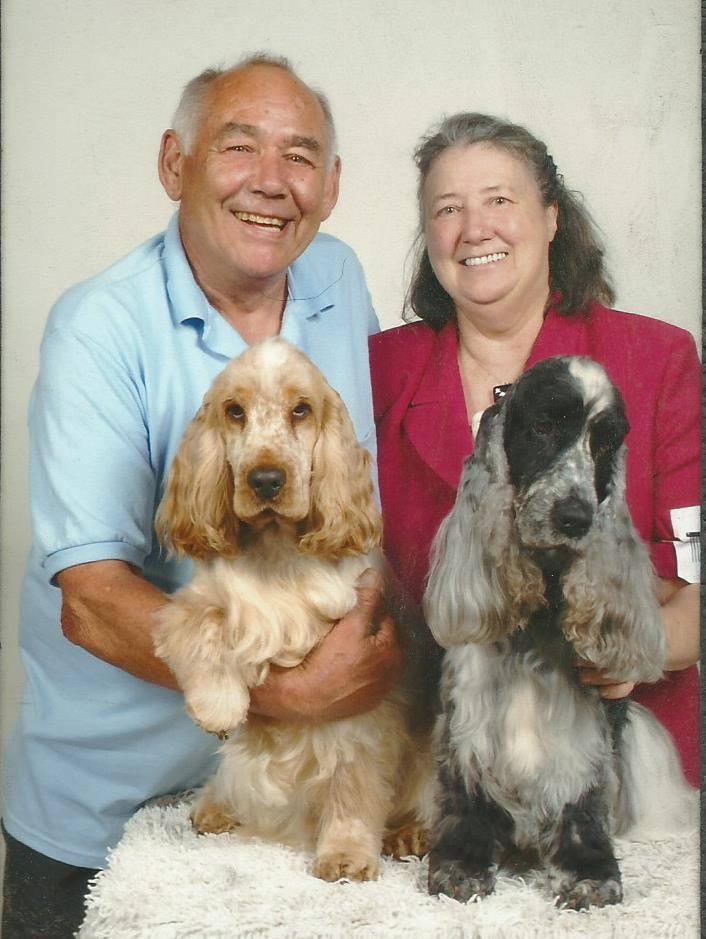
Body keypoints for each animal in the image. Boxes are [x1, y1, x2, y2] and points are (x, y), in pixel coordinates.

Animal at [154, 337, 433, 882]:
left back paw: (410, 832)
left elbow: (351, 775)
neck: (276, 550)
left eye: (301, 410)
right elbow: (205, 625)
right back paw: (214, 807)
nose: (265, 480)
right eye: (234, 411)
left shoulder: (355, 682)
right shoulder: (198, 600)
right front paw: (218, 705)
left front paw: (345, 854)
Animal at [423, 355, 694, 910]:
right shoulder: (468, 708)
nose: (575, 517)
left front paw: (589, 871)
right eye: (544, 427)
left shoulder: (586, 719)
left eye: (605, 444)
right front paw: (460, 864)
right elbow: (465, 782)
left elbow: (581, 793)